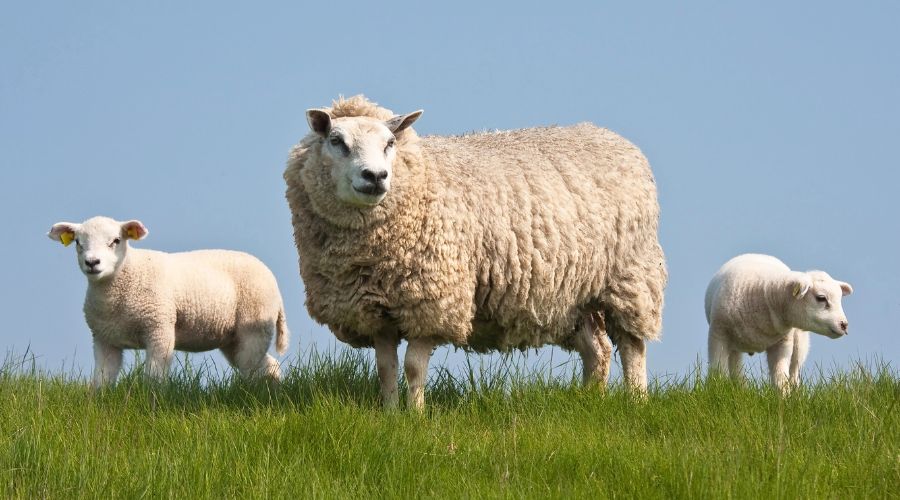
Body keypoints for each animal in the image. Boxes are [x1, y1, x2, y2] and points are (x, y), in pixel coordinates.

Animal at [48, 216, 289, 388]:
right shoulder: (104, 339)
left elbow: (154, 375)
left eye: (116, 241)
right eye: (78, 242)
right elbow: (102, 379)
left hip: (254, 325)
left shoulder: (159, 327)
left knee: (252, 365)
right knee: (267, 366)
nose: (92, 262)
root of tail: (275, 283)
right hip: (233, 338)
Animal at [284, 95, 667, 409]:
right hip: (573, 293)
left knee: (632, 345)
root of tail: (609, 136)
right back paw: (590, 400)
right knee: (596, 349)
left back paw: (636, 400)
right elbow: (385, 368)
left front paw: (416, 417)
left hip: (630, 277)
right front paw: (390, 414)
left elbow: (413, 367)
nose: (375, 176)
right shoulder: (376, 309)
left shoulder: (433, 301)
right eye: (337, 141)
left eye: (390, 143)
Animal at [705, 253, 853, 392]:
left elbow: (781, 379)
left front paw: (784, 399)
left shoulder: (783, 342)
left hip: (799, 343)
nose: (844, 325)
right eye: (821, 298)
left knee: (794, 372)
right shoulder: (718, 335)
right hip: (734, 344)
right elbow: (718, 371)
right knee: (736, 368)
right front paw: (718, 392)